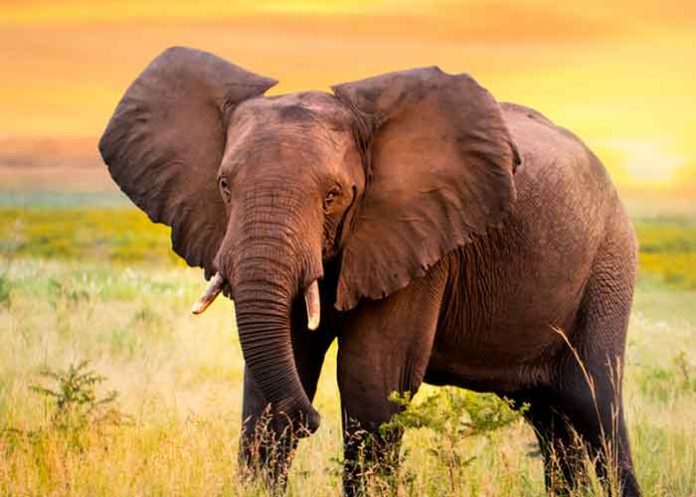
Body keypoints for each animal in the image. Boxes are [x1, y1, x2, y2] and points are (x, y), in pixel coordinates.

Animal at [99, 46, 641, 496]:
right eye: (224, 185)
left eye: (333, 196)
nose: (311, 420)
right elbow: (274, 376)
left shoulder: (421, 238)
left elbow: (370, 380)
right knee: (550, 419)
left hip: (609, 265)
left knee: (595, 403)